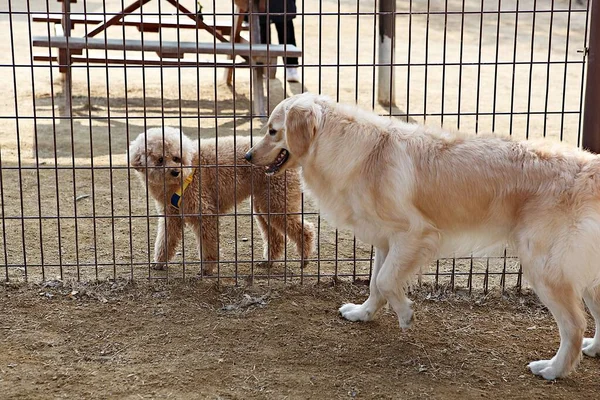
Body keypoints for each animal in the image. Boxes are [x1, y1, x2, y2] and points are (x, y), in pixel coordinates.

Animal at [129, 127, 316, 276]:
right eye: (160, 160)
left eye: (176, 158)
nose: (175, 172)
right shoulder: (170, 215)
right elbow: (165, 240)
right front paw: (159, 262)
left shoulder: (204, 213)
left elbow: (208, 243)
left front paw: (207, 268)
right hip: (264, 204)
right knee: (276, 237)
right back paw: (268, 261)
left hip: (277, 201)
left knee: (305, 229)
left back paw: (304, 258)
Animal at [243, 92, 600, 380]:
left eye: (272, 130)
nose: (247, 156)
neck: (362, 154)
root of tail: (591, 167)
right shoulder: (386, 241)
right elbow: (376, 284)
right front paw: (363, 314)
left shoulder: (414, 234)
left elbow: (386, 281)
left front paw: (405, 314)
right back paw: (592, 349)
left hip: (545, 267)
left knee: (573, 326)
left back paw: (553, 369)